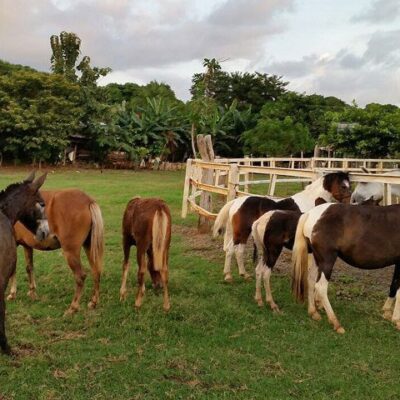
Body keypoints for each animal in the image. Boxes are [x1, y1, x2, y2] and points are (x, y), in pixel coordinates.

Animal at [212, 171, 350, 282]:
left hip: (242, 233)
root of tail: (236, 201)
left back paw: (240, 274)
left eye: (350, 185)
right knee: (233, 250)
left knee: (235, 250)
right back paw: (231, 276)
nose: (350, 204)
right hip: (241, 232)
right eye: (343, 186)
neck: (311, 201)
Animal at [290, 202, 400, 332]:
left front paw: (387, 313)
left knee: (311, 280)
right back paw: (336, 323)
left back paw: (313, 313)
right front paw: (397, 320)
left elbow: (394, 286)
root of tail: (310, 214)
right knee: (321, 286)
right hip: (327, 260)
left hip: (318, 259)